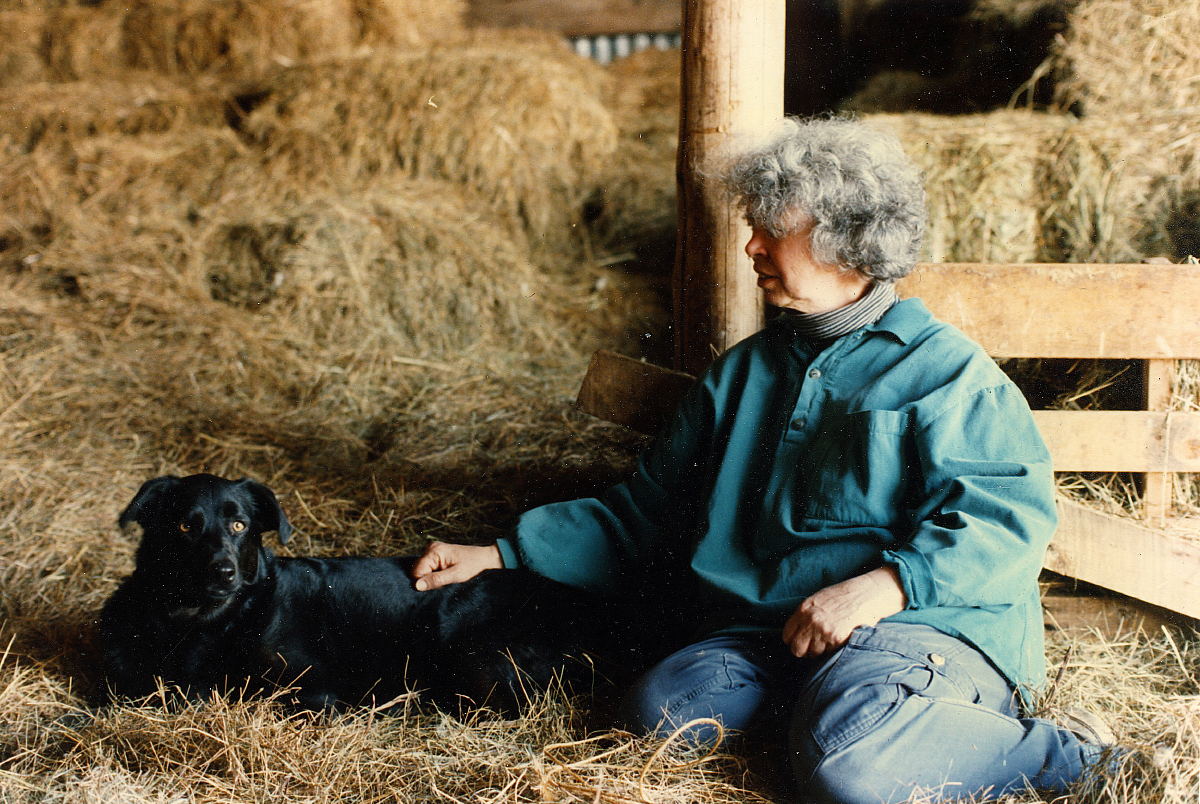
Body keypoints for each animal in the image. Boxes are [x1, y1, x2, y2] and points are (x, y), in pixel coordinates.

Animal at [100, 475, 667, 715]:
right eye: (184, 525)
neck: (197, 622)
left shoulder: (313, 686)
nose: (223, 572)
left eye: (239, 525)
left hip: (473, 657)